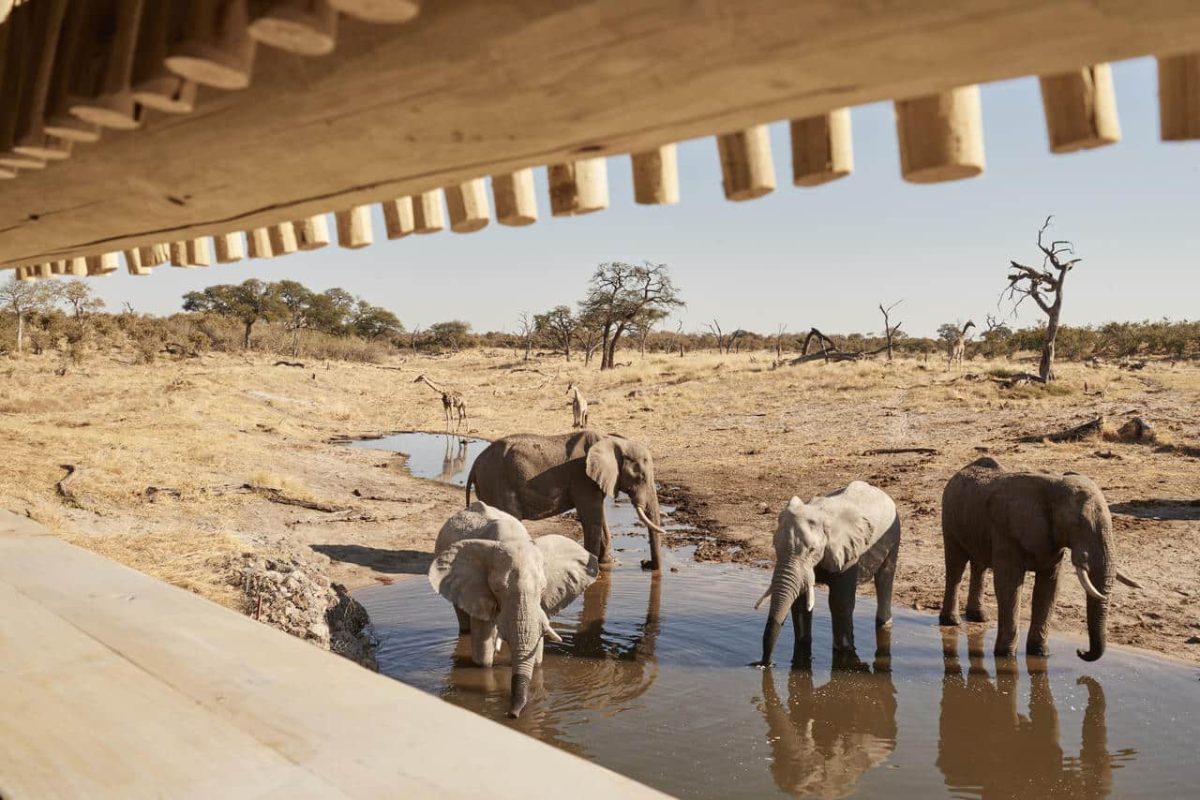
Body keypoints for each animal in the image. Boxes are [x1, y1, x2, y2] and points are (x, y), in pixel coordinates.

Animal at [429, 501, 599, 717]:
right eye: (498, 589)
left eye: (543, 588)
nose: (512, 714)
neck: (512, 539)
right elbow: (483, 652)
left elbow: (537, 652)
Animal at [465, 430, 667, 571]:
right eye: (641, 477)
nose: (645, 563)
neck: (611, 440)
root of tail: (475, 464)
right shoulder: (582, 477)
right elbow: (592, 518)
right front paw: (593, 568)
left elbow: (600, 517)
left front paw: (607, 564)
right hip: (496, 482)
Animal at [753, 481, 901, 666]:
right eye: (774, 545)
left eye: (812, 550)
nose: (764, 664)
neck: (821, 513)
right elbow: (800, 602)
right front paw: (803, 645)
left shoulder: (848, 553)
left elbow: (840, 602)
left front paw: (844, 652)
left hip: (894, 534)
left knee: (885, 576)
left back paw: (884, 623)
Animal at [940, 457, 1143, 661]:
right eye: (1077, 524)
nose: (1080, 651)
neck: (1054, 485)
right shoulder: (1006, 531)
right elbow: (1009, 586)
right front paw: (1006, 656)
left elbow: (1049, 588)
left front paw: (1040, 654)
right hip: (949, 518)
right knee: (956, 566)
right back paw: (952, 621)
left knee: (978, 565)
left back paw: (979, 617)